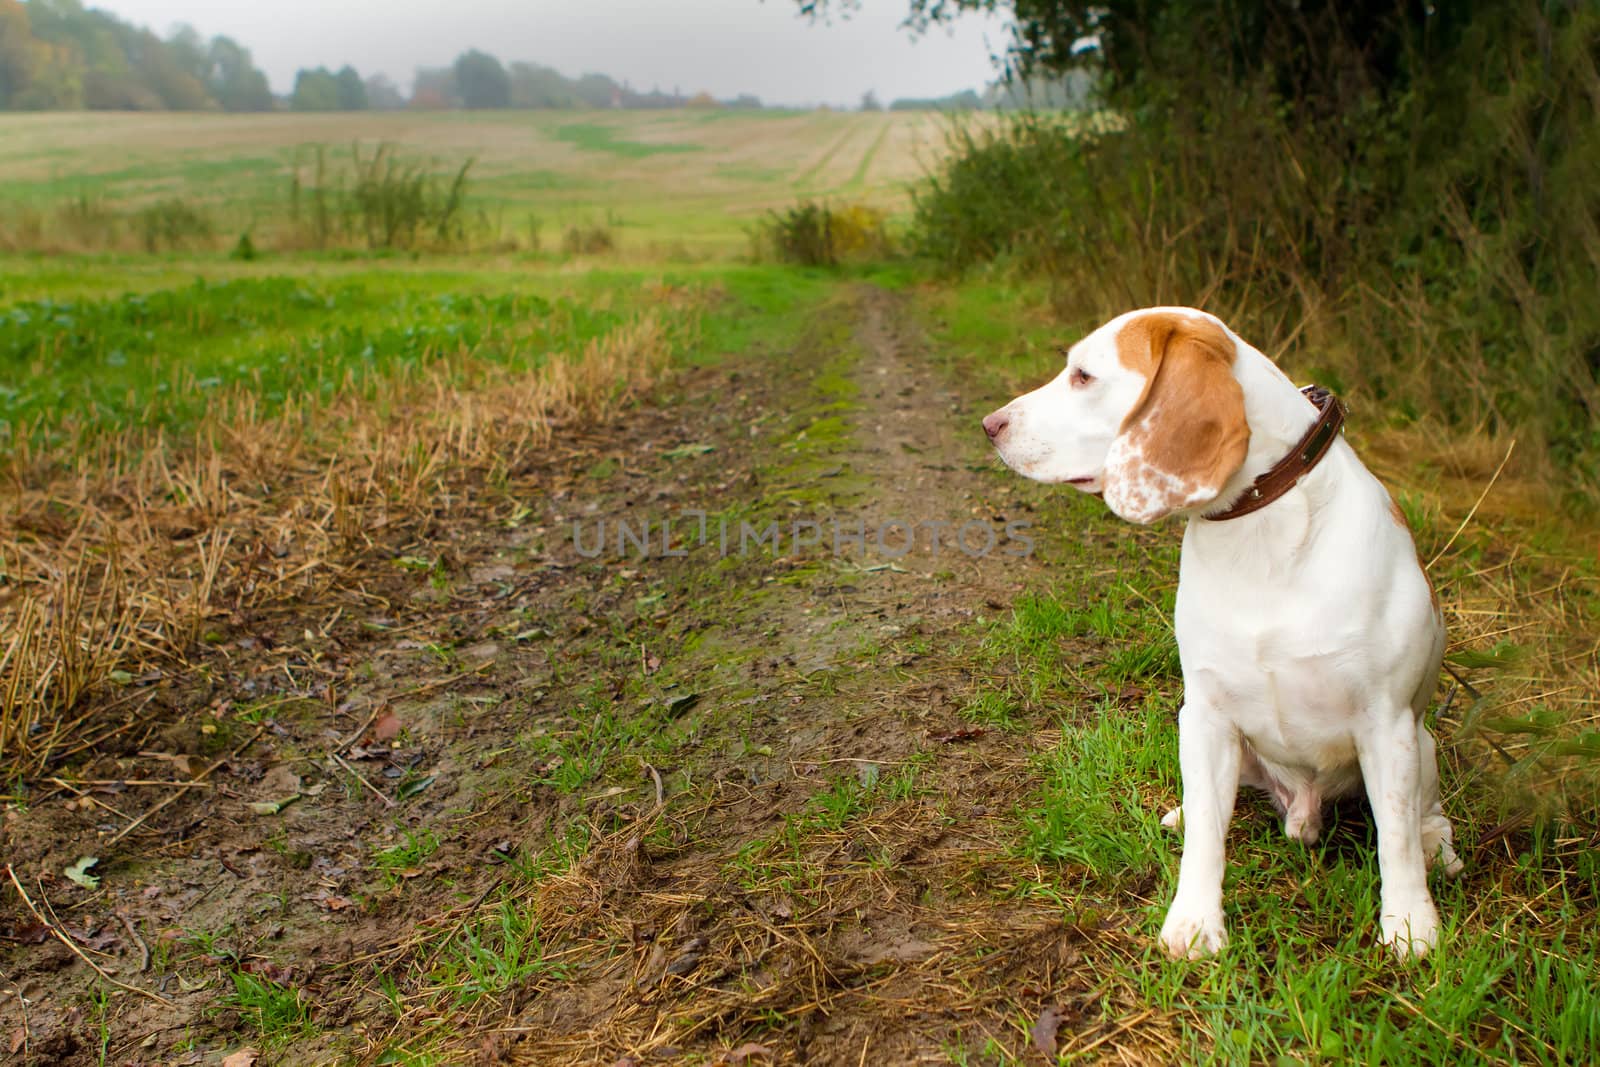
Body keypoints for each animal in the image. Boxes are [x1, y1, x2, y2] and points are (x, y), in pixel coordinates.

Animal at [972, 307, 1465, 959]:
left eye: (1083, 375)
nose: (990, 425)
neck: (1259, 529)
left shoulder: (1386, 725)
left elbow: (1396, 841)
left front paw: (1410, 926)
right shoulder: (1205, 715)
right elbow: (1208, 835)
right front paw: (1194, 923)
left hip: (1422, 744)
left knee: (1425, 818)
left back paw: (1440, 848)